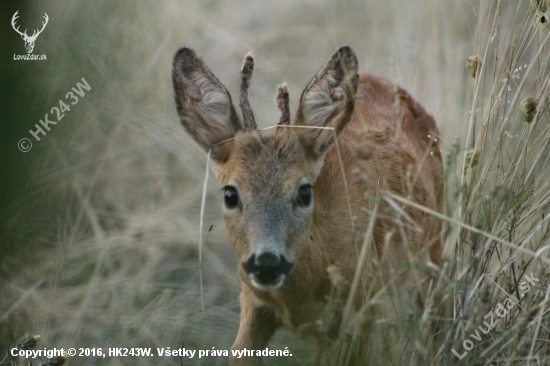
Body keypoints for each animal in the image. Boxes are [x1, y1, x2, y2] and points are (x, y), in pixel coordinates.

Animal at [171, 45, 444, 364]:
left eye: (303, 192)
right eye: (230, 194)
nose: (266, 263)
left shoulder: (359, 309)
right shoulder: (251, 297)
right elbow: (238, 353)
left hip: (433, 252)